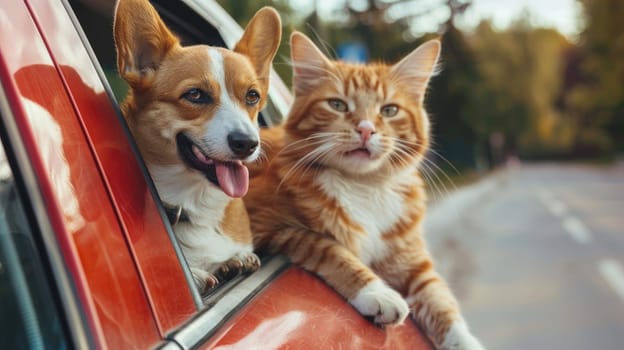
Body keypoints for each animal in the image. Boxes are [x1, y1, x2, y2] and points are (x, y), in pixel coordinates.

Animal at [113, 0, 282, 292]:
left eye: (252, 96)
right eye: (194, 94)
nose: (247, 143)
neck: (196, 200)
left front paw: (235, 260)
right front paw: (198, 274)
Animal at [243, 31, 482, 348]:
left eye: (389, 110)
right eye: (338, 105)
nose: (366, 129)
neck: (364, 186)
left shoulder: (412, 262)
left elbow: (442, 302)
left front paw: (464, 339)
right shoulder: (270, 225)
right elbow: (330, 250)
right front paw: (376, 292)